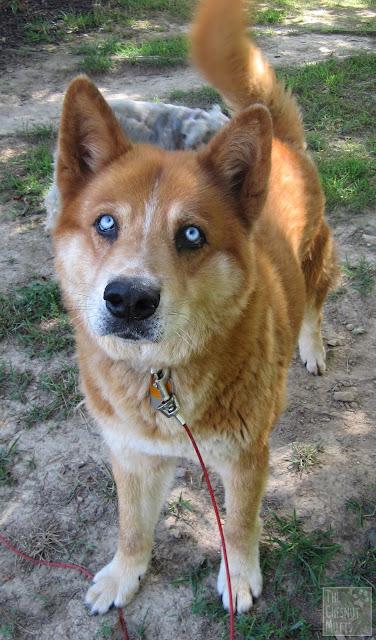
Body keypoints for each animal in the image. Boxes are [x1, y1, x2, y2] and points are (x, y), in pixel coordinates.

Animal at [49, 0, 334, 616]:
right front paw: (124, 575)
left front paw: (241, 576)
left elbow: (241, 524)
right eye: (105, 223)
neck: (162, 380)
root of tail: (279, 142)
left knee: (313, 306)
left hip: (317, 260)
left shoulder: (246, 456)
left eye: (192, 235)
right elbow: (132, 525)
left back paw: (311, 347)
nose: (129, 299)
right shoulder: (132, 455)